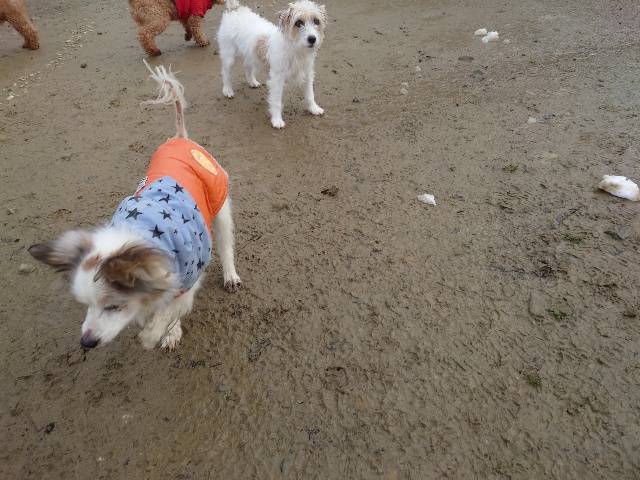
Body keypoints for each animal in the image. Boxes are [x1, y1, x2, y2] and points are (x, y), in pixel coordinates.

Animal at [29, 61, 242, 350]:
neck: (142, 233)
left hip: (219, 207)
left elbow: (170, 311)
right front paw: (162, 329)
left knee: (226, 244)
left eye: (113, 306)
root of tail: (180, 137)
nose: (86, 343)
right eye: (86, 305)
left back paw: (230, 275)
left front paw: (159, 333)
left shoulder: (188, 279)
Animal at [217, 0, 327, 128]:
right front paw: (277, 120)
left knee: (248, 67)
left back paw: (252, 82)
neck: (294, 48)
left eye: (316, 21)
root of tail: (235, 7)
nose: (312, 39)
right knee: (226, 73)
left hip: (250, 54)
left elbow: (310, 95)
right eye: (298, 23)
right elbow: (276, 101)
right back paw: (227, 91)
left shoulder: (307, 75)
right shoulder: (277, 80)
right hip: (229, 56)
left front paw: (314, 109)